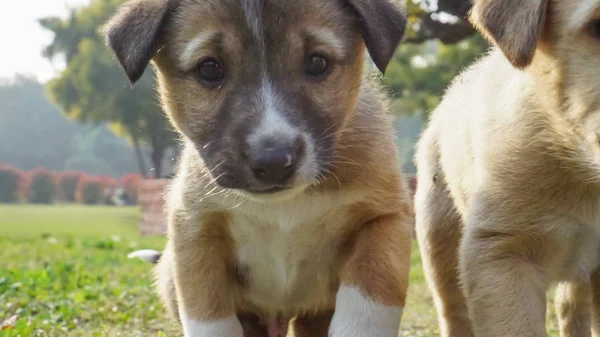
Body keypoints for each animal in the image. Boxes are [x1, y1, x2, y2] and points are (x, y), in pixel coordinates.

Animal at [102, 0, 412, 336]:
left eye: (318, 63)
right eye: (209, 69)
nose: (273, 161)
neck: (283, 206)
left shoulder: (383, 220)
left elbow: (366, 313)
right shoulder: (195, 232)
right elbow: (211, 320)